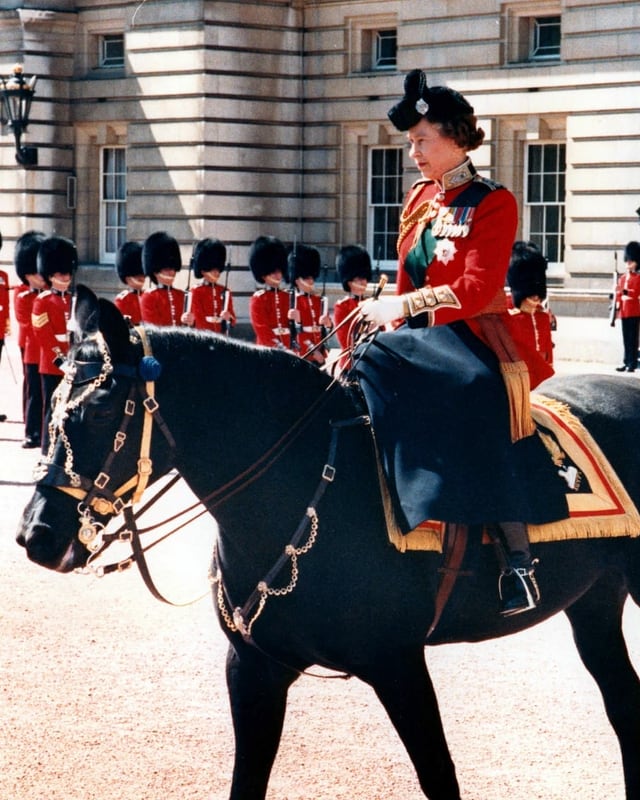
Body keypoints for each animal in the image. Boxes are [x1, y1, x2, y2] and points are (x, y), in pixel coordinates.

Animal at [16, 288, 640, 800]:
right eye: (55, 408)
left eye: (100, 409)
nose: (35, 536)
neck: (297, 485)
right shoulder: (254, 669)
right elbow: (247, 783)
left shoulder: (399, 665)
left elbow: (440, 778)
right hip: (593, 600)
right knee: (622, 703)